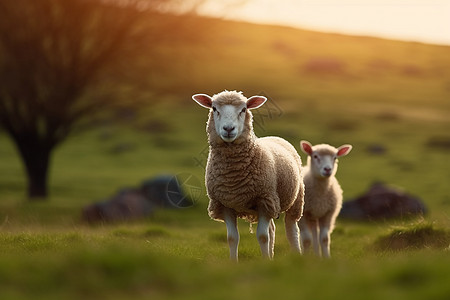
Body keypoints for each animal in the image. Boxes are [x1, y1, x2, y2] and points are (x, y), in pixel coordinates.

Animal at [192, 90, 304, 262]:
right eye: (214, 108)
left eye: (243, 109)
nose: (228, 128)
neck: (233, 176)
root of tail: (274, 136)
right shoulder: (224, 204)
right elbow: (232, 238)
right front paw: (234, 262)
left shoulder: (264, 200)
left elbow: (262, 237)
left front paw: (265, 262)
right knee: (272, 229)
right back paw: (271, 255)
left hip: (295, 199)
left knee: (292, 229)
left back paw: (296, 254)